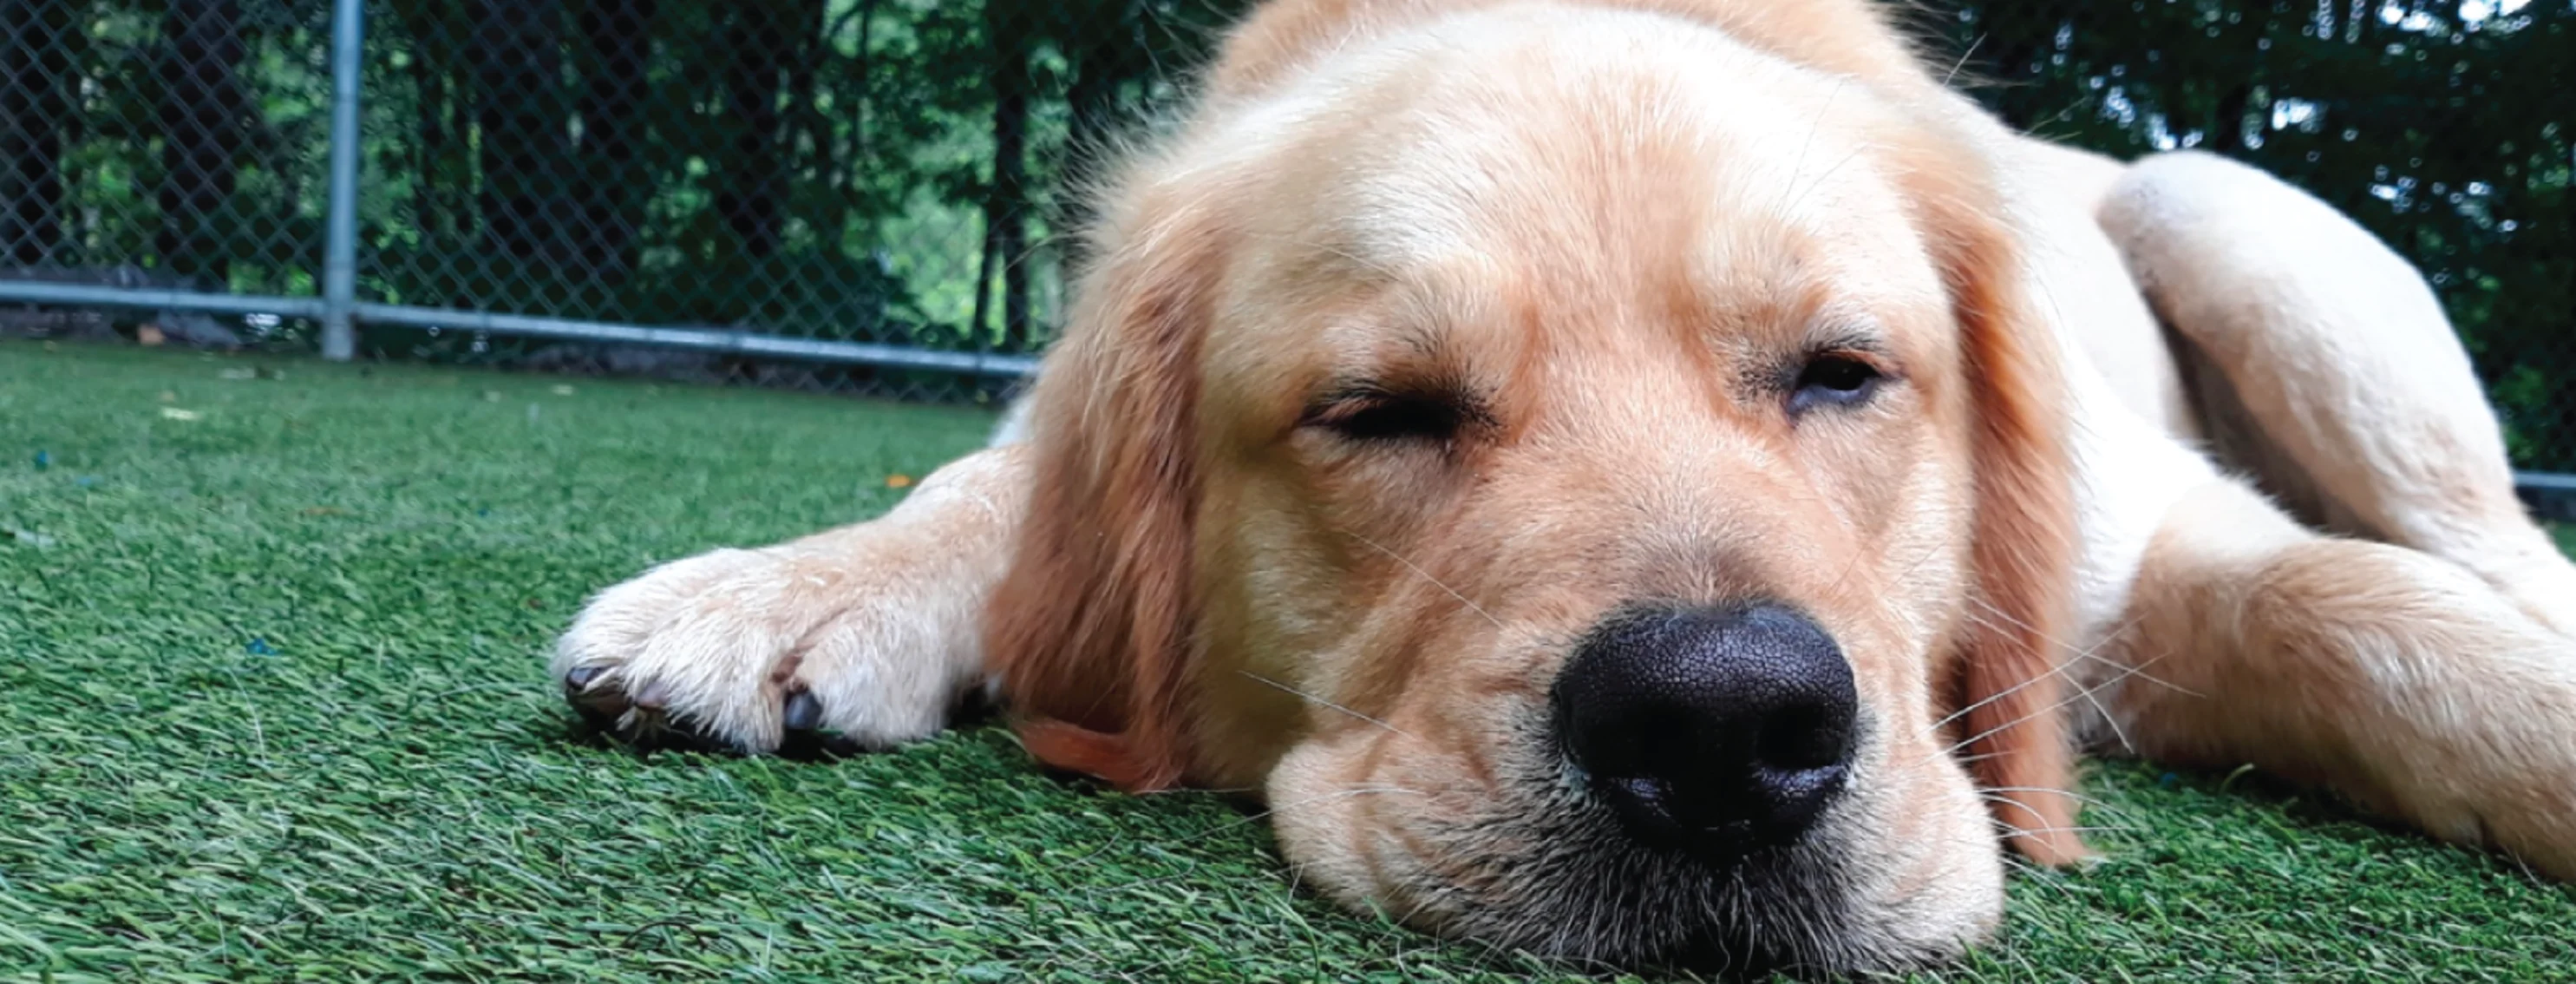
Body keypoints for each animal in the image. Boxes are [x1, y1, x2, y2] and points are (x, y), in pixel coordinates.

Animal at [548, 0, 2576, 974]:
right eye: (1380, 412)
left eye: (1842, 372)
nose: (1723, 730)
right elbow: (989, 486)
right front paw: (791, 585)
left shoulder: (2155, 546)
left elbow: (2366, 610)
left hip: (2226, 216)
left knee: (2486, 550)